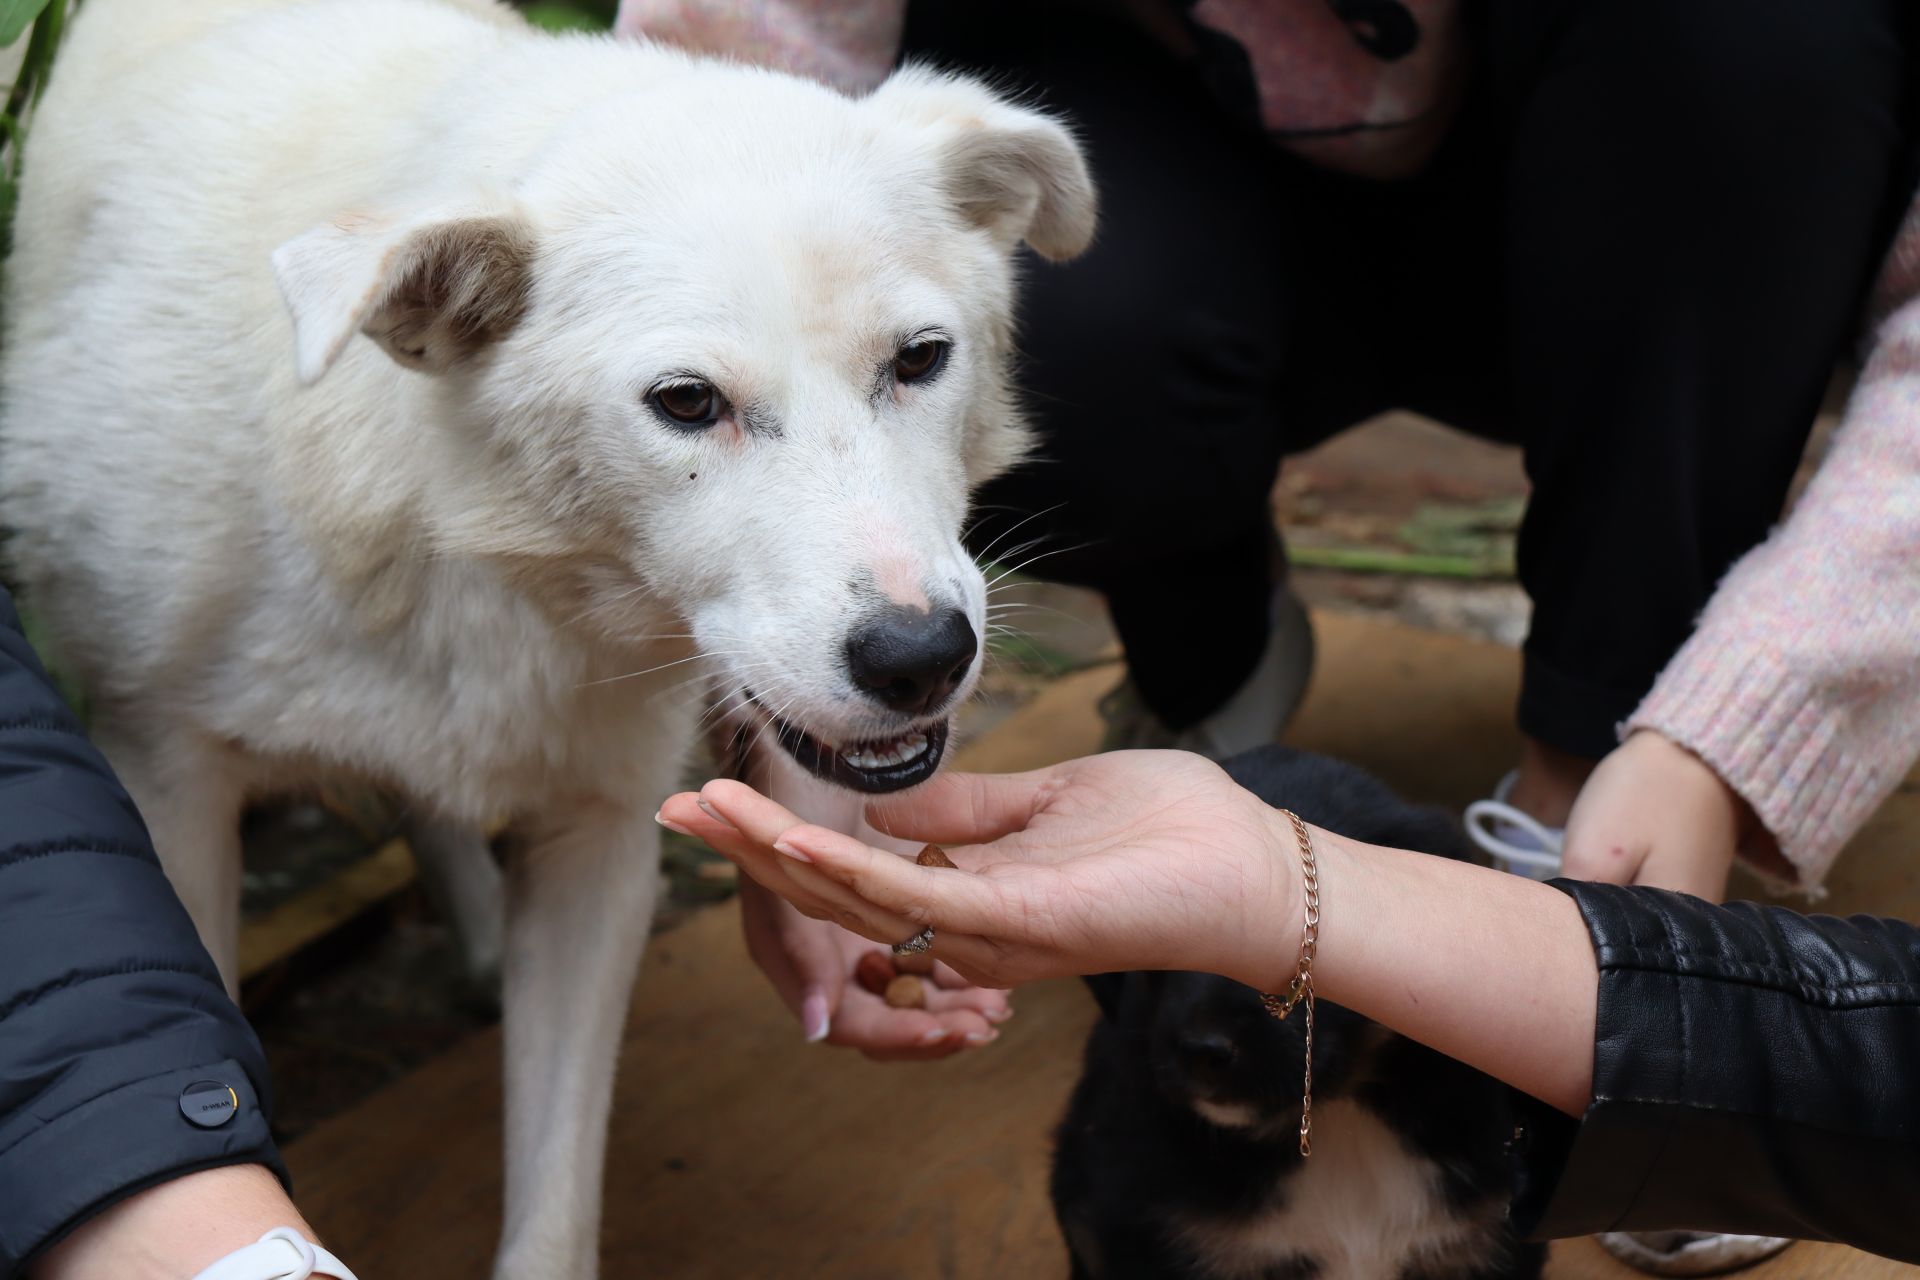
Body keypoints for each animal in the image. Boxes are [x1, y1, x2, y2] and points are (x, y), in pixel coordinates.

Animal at [0, 2, 1098, 1280]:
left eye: (920, 358)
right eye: (686, 402)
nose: (919, 655)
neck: (451, 528)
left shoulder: (600, 834)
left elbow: (557, 1208)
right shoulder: (164, 787)